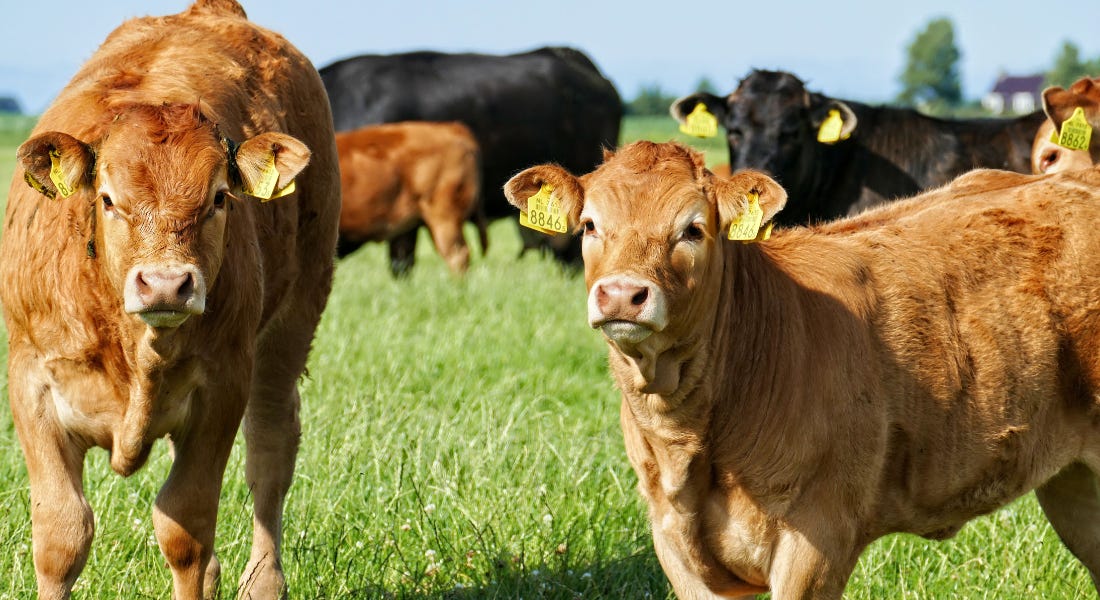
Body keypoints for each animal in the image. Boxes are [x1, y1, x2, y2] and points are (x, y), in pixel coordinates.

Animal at [0, 1, 340, 598]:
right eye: (107, 199)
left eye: (219, 198)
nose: (164, 284)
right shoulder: (31, 381)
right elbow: (61, 535)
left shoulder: (223, 386)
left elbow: (185, 529)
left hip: (294, 321)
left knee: (270, 450)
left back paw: (263, 580)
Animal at [504, 140, 1100, 599]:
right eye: (589, 225)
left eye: (693, 230)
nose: (623, 294)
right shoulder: (673, 538)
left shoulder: (817, 535)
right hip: (1074, 482)